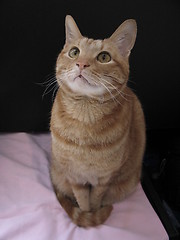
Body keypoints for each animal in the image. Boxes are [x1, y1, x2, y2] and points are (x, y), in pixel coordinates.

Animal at [50, 15, 146, 227]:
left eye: (104, 57)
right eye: (74, 52)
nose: (81, 64)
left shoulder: (104, 179)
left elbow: (94, 200)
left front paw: (94, 213)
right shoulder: (75, 177)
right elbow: (82, 201)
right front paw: (87, 215)